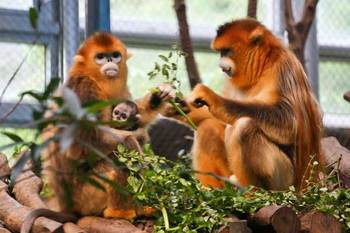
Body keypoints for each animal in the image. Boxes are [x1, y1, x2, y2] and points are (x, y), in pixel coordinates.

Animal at [185, 19, 322, 190]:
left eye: (226, 51)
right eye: (221, 52)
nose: (221, 66)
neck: (262, 68)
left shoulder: (283, 67)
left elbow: (290, 121)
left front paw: (211, 97)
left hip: (285, 179)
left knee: (244, 126)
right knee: (207, 127)